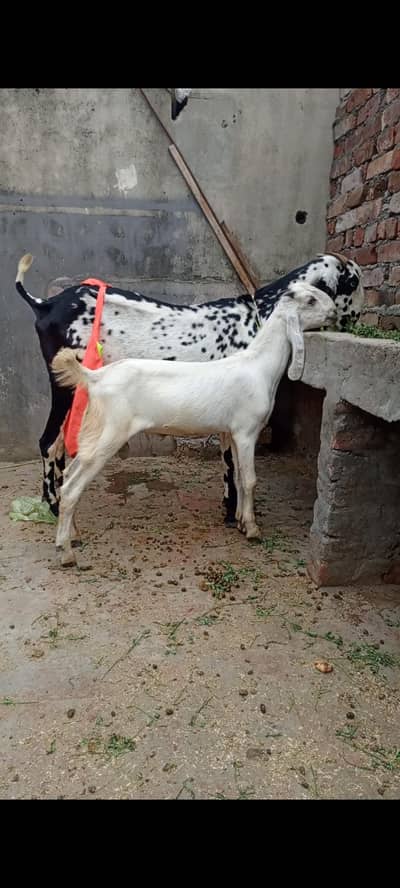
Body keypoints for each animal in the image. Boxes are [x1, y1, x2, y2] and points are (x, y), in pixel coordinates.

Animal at [15, 251, 364, 524]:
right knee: (49, 442)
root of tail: (45, 304)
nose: (359, 316)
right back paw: (54, 506)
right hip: (65, 389)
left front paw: (232, 509)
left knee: (60, 445)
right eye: (353, 282)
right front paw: (233, 512)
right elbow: (231, 463)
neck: (258, 316)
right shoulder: (236, 414)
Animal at [51, 282, 337, 566]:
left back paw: (73, 534)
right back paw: (66, 552)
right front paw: (253, 529)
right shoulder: (247, 431)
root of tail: (95, 377)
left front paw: (241, 521)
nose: (334, 311)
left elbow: (239, 476)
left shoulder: (233, 432)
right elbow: (250, 479)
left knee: (68, 475)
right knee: (71, 488)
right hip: (110, 432)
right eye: (310, 300)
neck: (259, 367)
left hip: (95, 433)